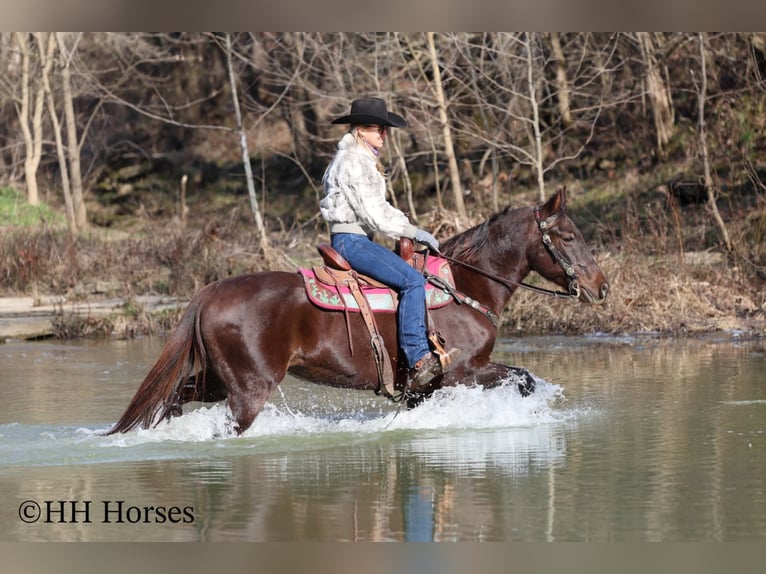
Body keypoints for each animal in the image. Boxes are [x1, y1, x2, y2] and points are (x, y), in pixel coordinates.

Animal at [107, 187, 609, 435]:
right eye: (567, 236)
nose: (600, 287)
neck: (465, 285)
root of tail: (210, 292)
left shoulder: (421, 390)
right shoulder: (465, 370)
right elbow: (524, 379)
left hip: (217, 379)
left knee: (175, 398)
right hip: (249, 390)